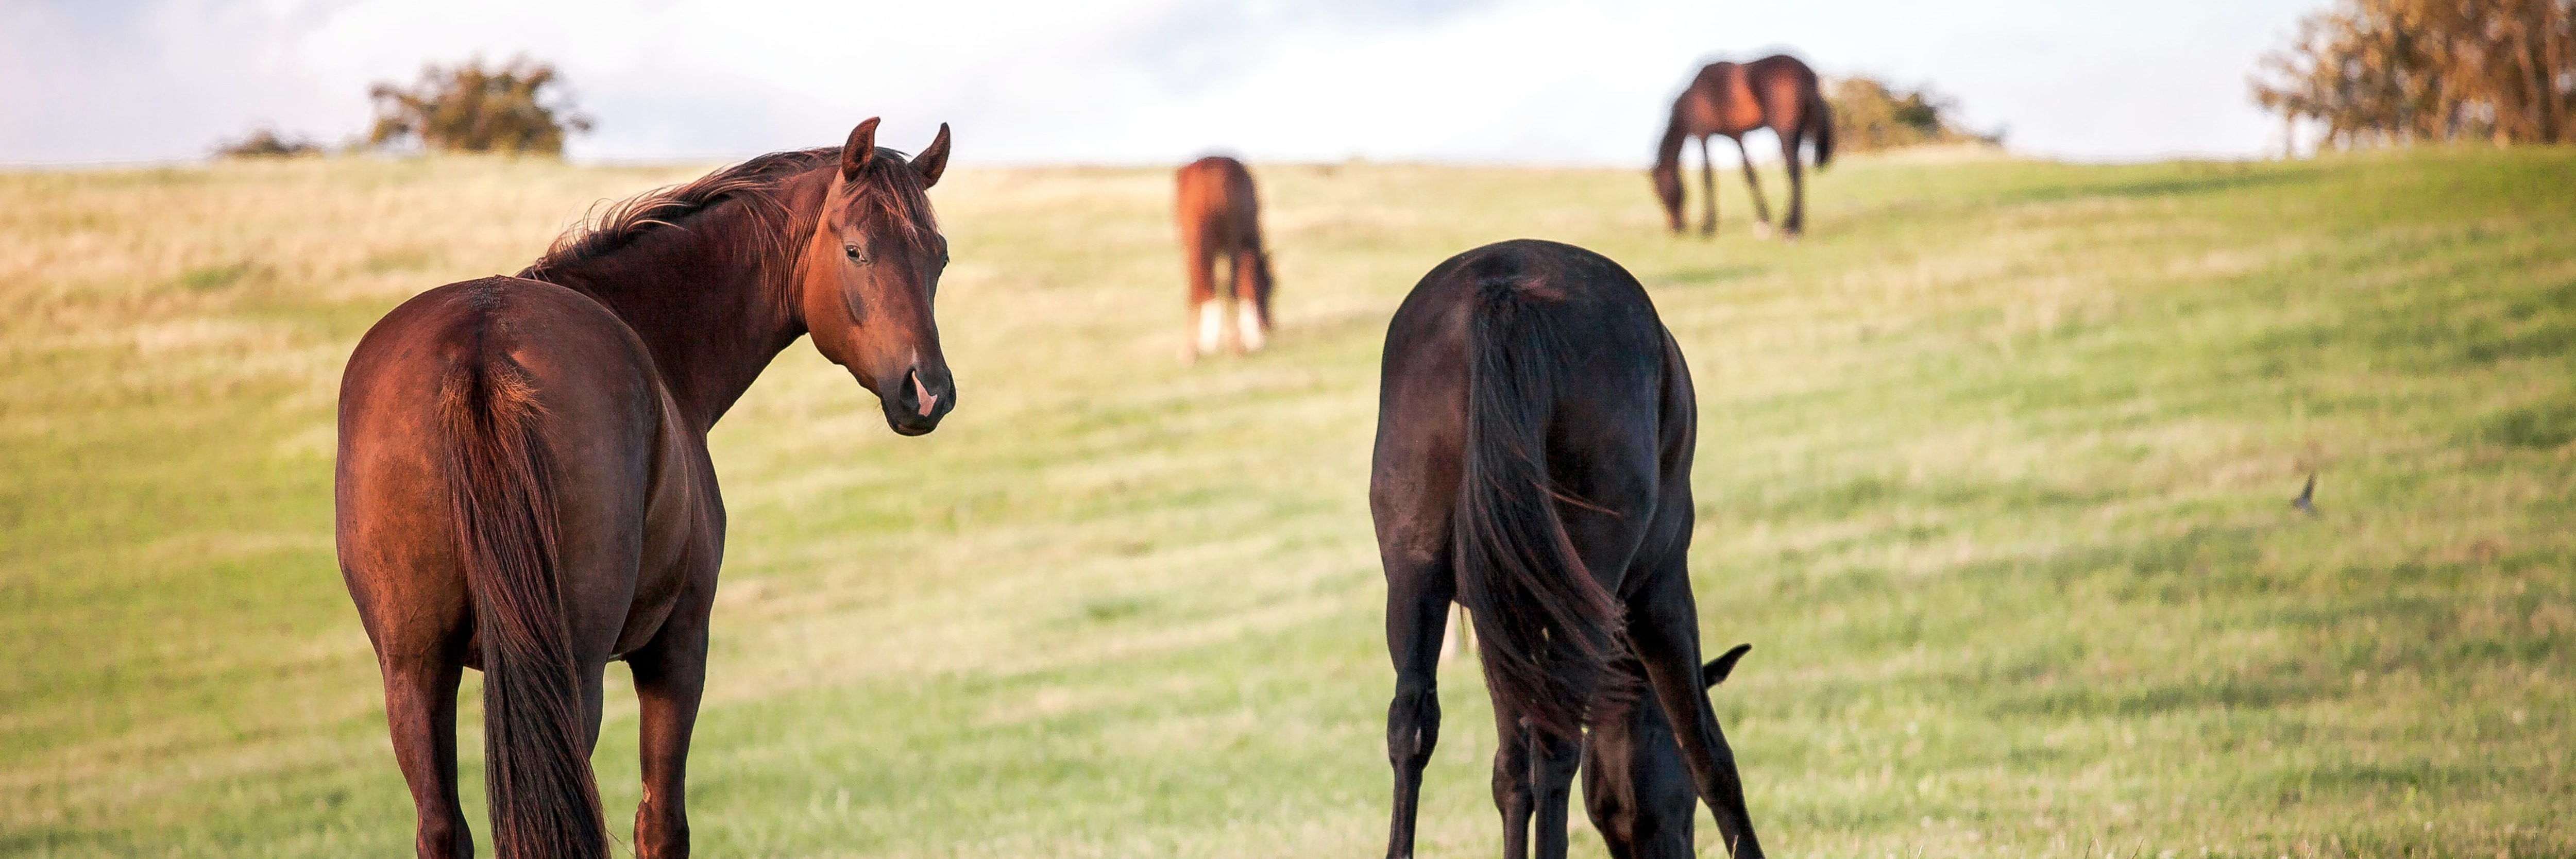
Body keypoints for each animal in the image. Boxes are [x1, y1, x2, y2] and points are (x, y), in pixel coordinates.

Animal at [332, 115, 953, 856]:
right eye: (856, 250)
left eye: (939, 257)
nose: (928, 391)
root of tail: (479, 348)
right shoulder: (677, 646)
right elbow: (661, 824)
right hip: (570, 670)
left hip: (414, 671)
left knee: (441, 827)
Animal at [1180, 154, 1278, 358]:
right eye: (1269, 286)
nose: (1269, 326)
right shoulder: (1243, 247)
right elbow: (1243, 284)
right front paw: (1254, 342)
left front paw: (1208, 343)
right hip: (1231, 243)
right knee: (1231, 286)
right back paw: (1235, 346)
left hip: (1194, 243)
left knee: (1196, 285)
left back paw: (1189, 351)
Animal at [1370, 237, 1772, 856]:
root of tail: (1503, 288)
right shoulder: (1660, 595)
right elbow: (1708, 753)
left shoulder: (1500, 620)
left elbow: (1509, 771)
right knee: (1558, 744)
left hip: (1415, 577)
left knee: (1412, 724)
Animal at [1649, 55, 1834, 237]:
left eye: (1660, 191)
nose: (1675, 229)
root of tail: (1806, 74)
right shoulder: (1736, 136)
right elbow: (1750, 175)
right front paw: (1764, 222)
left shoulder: (1703, 135)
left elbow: (1707, 177)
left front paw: (1708, 228)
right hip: (1798, 133)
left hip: (1785, 132)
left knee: (1793, 171)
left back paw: (1791, 228)